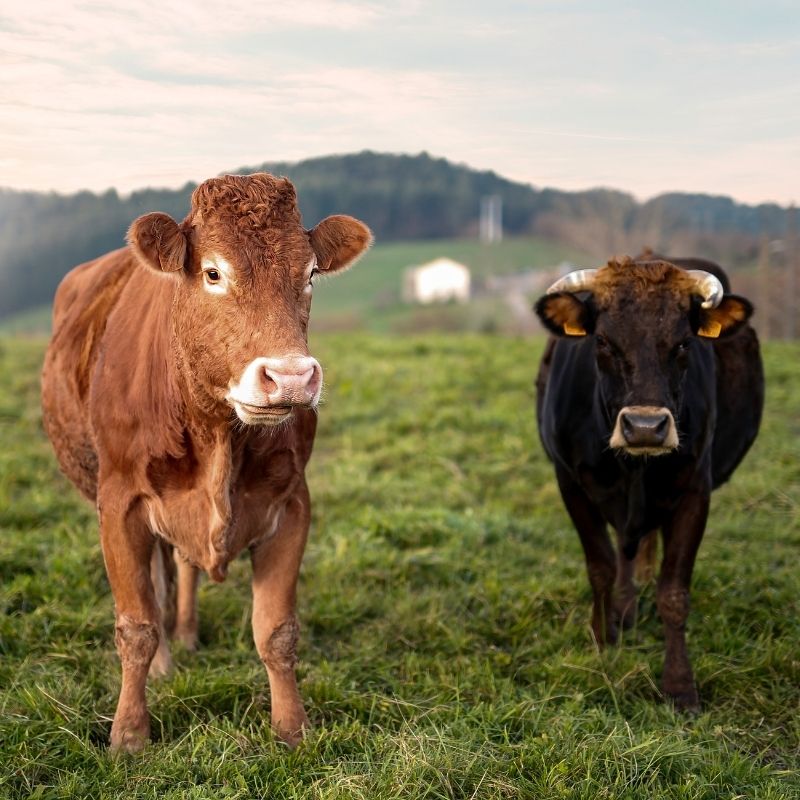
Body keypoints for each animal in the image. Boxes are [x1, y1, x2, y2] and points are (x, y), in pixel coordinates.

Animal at [40, 172, 372, 752]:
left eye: (310, 273)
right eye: (213, 272)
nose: (290, 377)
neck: (217, 433)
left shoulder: (292, 503)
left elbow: (277, 630)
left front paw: (292, 729)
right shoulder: (119, 503)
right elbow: (137, 625)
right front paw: (129, 735)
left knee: (184, 566)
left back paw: (189, 635)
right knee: (158, 582)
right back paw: (166, 664)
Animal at [536, 255, 760, 708]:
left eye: (683, 343)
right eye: (603, 341)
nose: (644, 427)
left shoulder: (695, 490)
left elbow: (673, 592)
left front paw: (680, 686)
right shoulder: (570, 483)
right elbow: (601, 567)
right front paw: (603, 638)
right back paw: (623, 612)